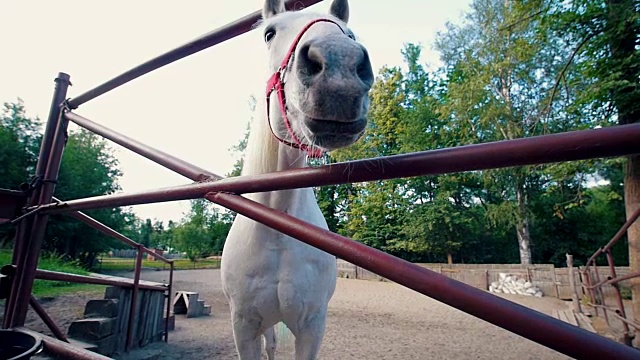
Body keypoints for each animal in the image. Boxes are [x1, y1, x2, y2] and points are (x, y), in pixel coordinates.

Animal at [220, 1, 372, 358]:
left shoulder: (312, 327)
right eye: (269, 33)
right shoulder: (243, 327)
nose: (338, 67)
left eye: (350, 34)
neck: (278, 230)